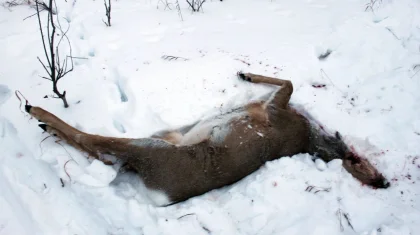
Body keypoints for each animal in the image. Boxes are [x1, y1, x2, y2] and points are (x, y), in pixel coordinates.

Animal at [24, 71, 388, 206]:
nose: (382, 180)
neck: (310, 137)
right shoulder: (273, 108)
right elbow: (287, 81)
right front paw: (244, 73)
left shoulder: (274, 109)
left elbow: (289, 81)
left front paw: (246, 73)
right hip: (163, 138)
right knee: (99, 151)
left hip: (151, 148)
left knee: (93, 141)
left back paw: (36, 112)